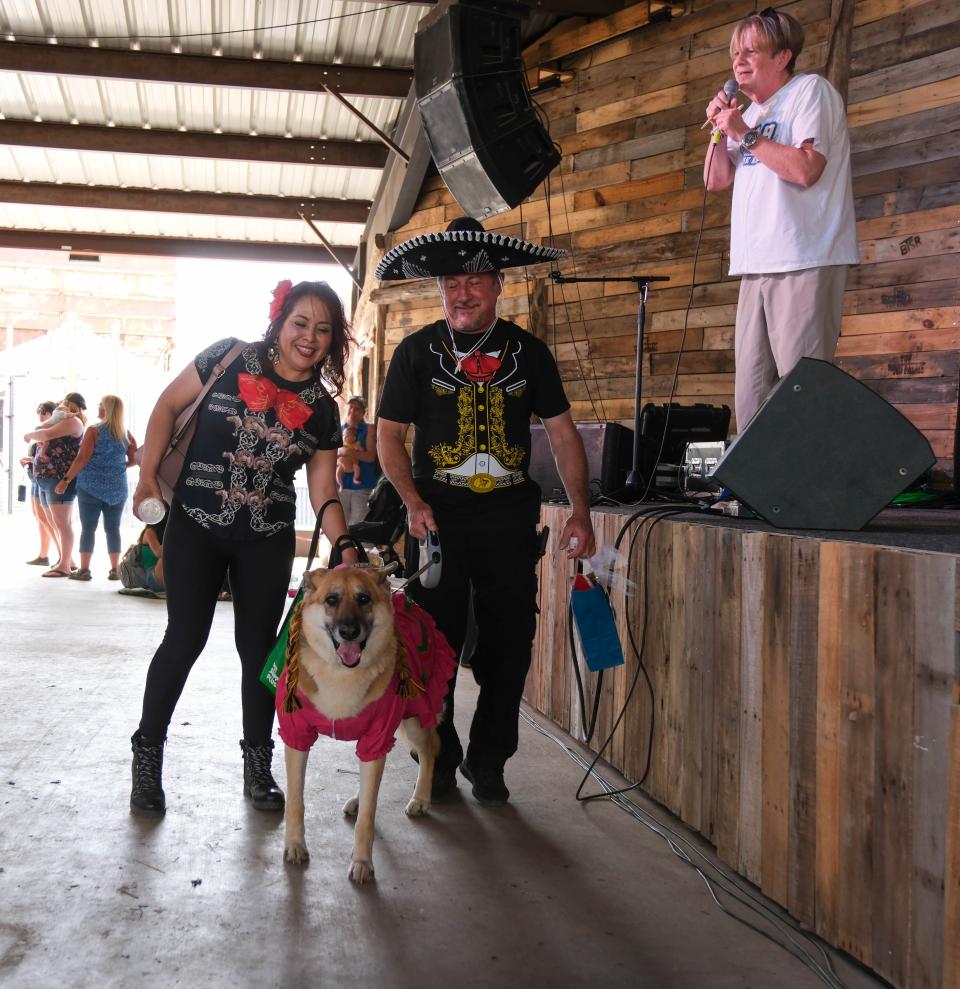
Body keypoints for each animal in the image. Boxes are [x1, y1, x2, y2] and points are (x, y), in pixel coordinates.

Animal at [278, 568, 450, 884]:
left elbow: (367, 818)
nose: (349, 632)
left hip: (414, 717)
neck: (340, 673)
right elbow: (295, 801)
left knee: (429, 750)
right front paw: (294, 845)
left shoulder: (378, 734)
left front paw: (362, 862)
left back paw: (421, 798)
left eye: (364, 599)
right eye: (331, 600)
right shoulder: (297, 736)